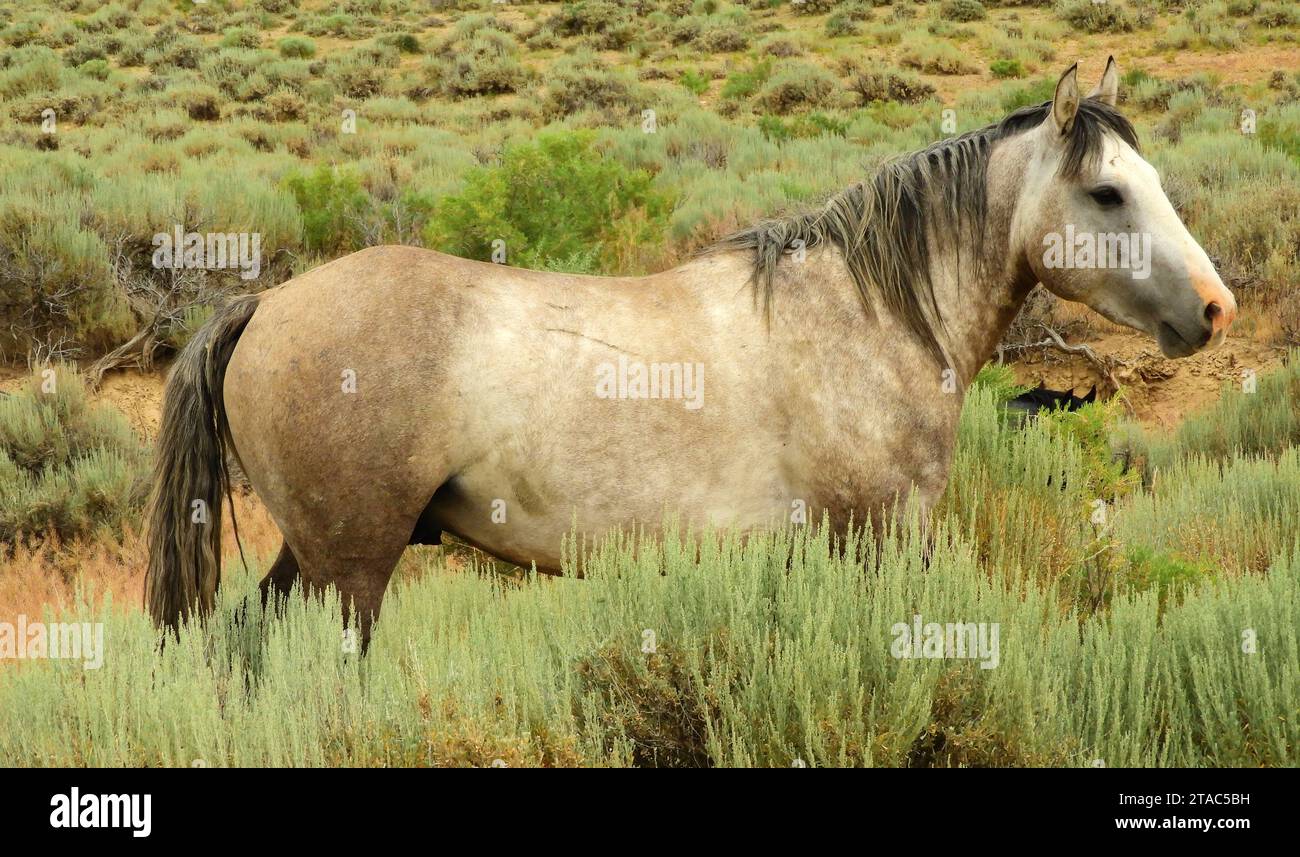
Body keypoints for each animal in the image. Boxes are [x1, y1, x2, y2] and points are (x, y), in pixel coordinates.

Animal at [146, 59, 1236, 646]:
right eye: (1107, 192)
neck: (865, 318)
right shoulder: (881, 543)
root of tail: (265, 305)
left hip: (316, 558)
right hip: (353, 568)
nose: (1215, 309)